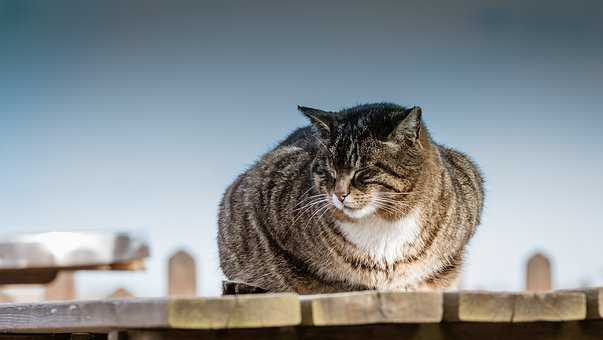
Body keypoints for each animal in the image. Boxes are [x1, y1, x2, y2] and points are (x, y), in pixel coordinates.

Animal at [217, 103, 486, 292]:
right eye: (328, 171)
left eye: (363, 172)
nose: (339, 194)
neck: (383, 224)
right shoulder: (262, 190)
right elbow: (300, 272)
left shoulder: (468, 179)